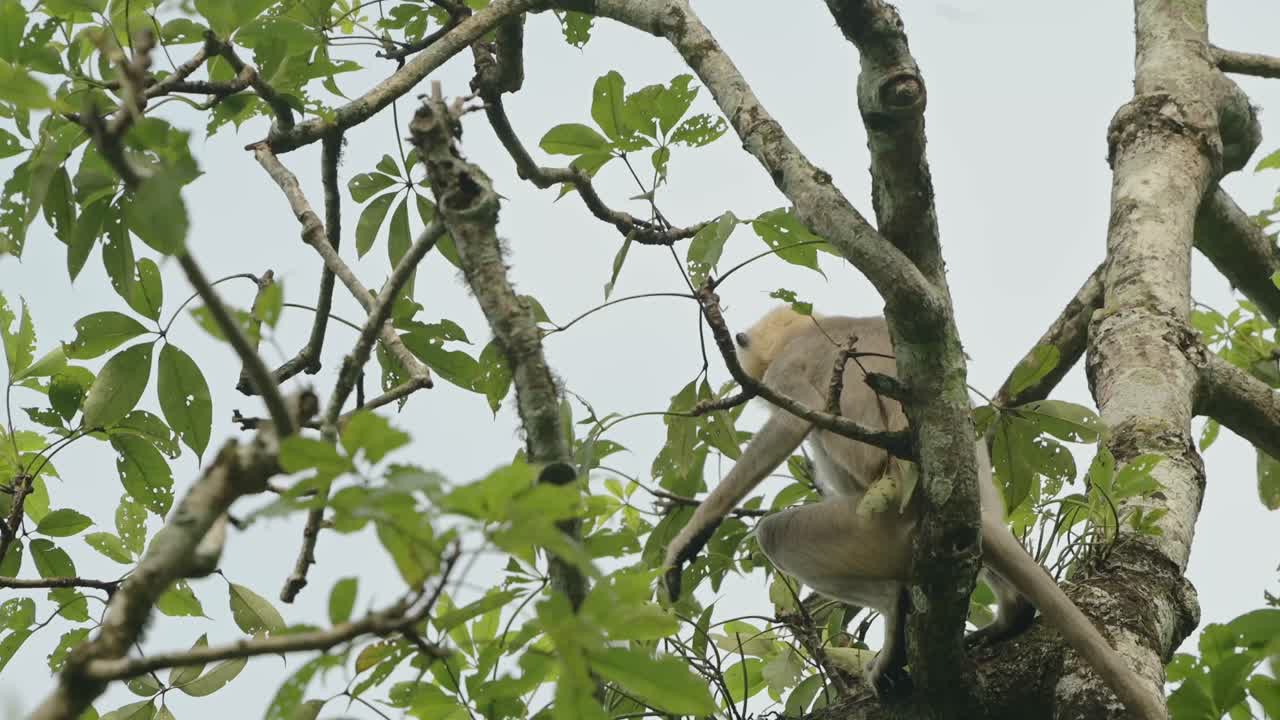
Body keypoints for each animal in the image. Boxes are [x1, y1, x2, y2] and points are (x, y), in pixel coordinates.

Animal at [662, 306, 1165, 720]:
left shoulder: (788, 366)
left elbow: (790, 425)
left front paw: (688, 540)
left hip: (877, 529)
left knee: (775, 533)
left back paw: (895, 614)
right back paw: (1012, 614)